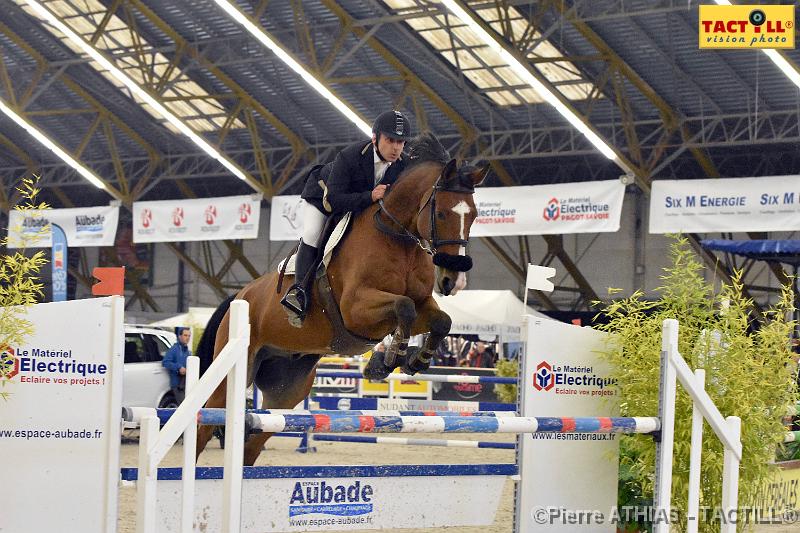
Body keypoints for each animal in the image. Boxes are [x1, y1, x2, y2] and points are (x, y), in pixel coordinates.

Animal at [197, 131, 490, 464]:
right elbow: (403, 308)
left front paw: (414, 360)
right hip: (231, 373)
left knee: (253, 442)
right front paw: (387, 361)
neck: (396, 236)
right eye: (440, 213)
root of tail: (239, 296)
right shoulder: (356, 309)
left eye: (475, 215)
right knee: (205, 422)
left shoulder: (421, 304)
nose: (454, 279)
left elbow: (441, 320)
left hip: (286, 389)